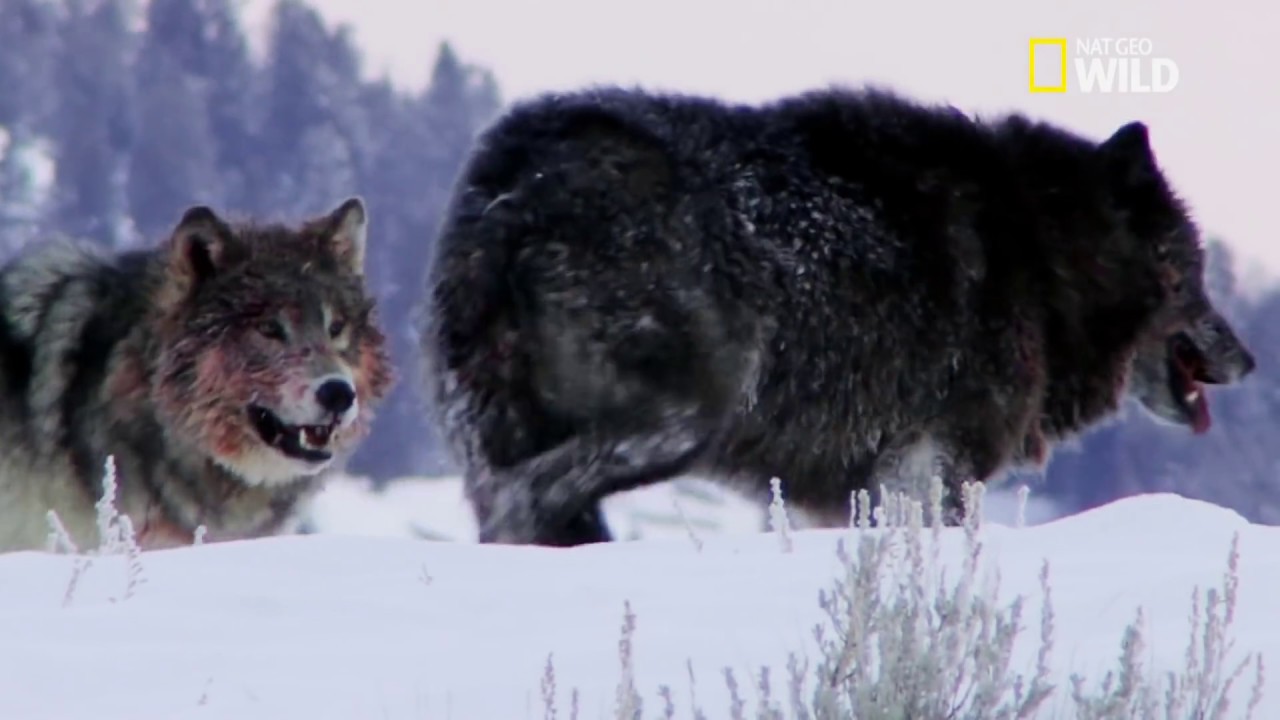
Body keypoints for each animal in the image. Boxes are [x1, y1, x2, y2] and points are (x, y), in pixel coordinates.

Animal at [417, 85, 1256, 546]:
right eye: (1192, 275)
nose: (1247, 360)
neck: (1045, 253)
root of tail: (517, 181)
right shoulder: (930, 464)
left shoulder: (855, 491)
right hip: (683, 421)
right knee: (522, 500)